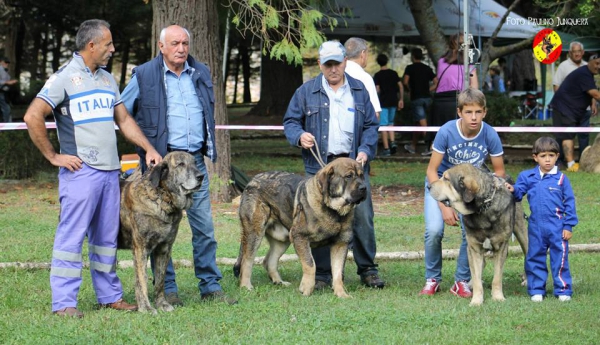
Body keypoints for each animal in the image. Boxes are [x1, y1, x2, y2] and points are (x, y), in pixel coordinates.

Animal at [118, 152, 205, 314]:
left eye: (195, 163)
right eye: (181, 164)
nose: (201, 176)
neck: (162, 198)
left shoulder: (164, 249)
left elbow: (160, 280)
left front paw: (162, 304)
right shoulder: (141, 249)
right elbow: (142, 280)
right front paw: (145, 307)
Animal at [233, 157, 366, 296]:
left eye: (362, 176)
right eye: (349, 176)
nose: (364, 188)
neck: (333, 210)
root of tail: (252, 181)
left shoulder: (340, 243)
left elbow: (338, 272)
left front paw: (341, 294)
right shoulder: (300, 237)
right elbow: (310, 264)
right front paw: (306, 289)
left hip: (283, 240)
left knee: (269, 261)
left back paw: (278, 282)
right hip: (255, 233)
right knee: (247, 260)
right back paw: (246, 286)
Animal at [428, 163, 528, 306]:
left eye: (446, 179)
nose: (428, 186)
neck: (482, 208)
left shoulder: (501, 247)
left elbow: (497, 278)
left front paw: (498, 297)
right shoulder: (474, 248)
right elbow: (476, 277)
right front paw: (476, 300)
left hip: (521, 231)